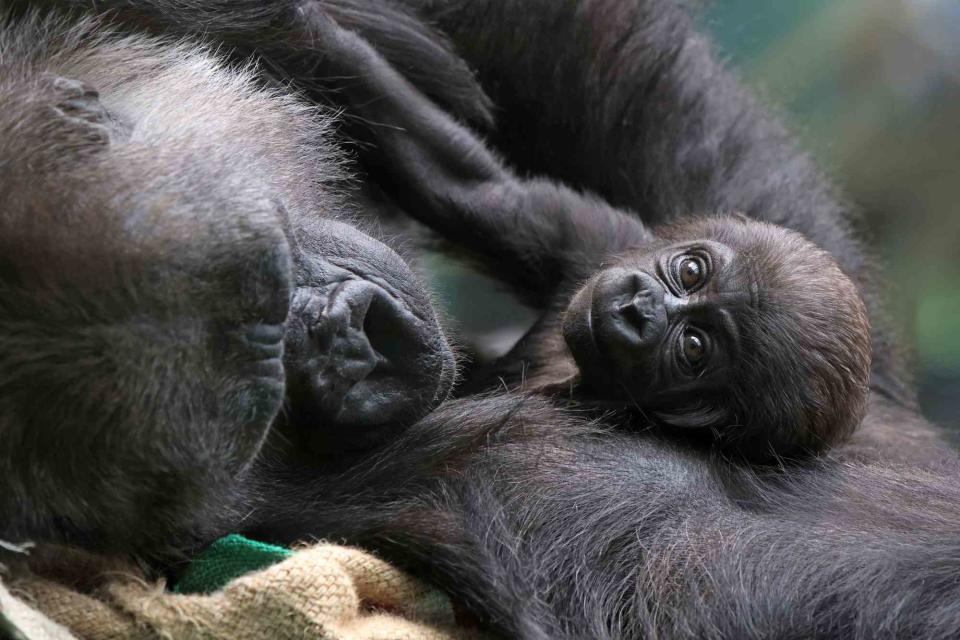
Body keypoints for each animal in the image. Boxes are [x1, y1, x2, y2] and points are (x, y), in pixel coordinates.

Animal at [306, 11, 872, 460]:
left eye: (693, 348)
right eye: (691, 270)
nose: (640, 307)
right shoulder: (601, 237)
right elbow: (460, 180)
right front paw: (295, 22)